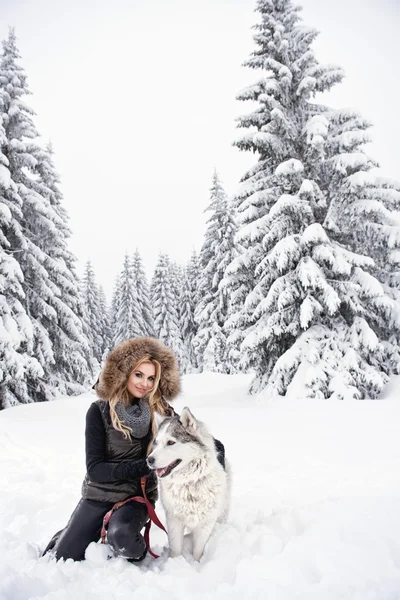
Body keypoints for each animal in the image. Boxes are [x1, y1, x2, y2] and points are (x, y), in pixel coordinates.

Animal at [147, 408, 230, 564]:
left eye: (171, 442)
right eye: (156, 442)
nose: (148, 460)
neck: (189, 483)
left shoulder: (205, 524)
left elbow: (198, 550)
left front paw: (196, 564)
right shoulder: (174, 520)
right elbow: (175, 548)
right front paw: (175, 563)